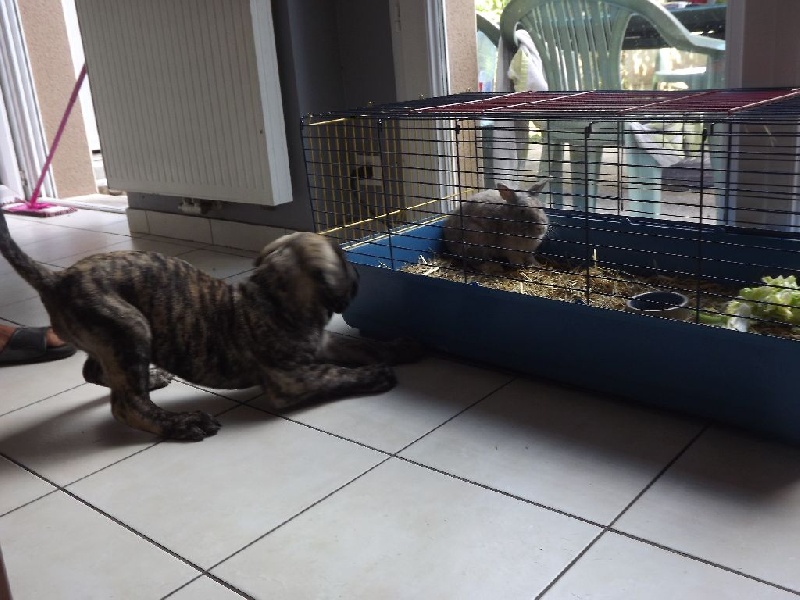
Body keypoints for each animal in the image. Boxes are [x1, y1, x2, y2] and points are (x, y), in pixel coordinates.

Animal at [0, 211, 420, 440]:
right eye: (344, 261)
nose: (358, 276)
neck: (272, 296)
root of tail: (57, 279)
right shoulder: (294, 379)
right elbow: (338, 374)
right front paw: (375, 375)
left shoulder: (322, 343)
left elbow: (362, 346)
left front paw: (398, 347)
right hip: (130, 325)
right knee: (126, 404)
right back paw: (182, 424)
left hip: (112, 337)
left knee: (95, 370)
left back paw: (153, 378)